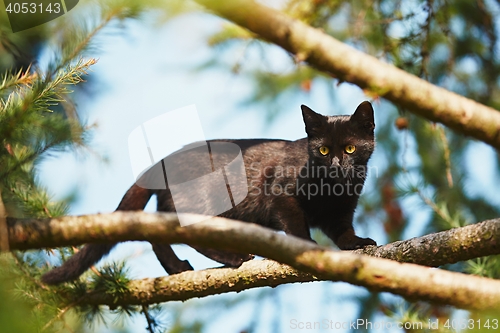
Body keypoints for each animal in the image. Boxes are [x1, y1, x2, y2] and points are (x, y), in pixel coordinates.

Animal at [42, 100, 376, 282]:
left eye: (349, 148)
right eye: (322, 150)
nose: (336, 164)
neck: (334, 188)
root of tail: (163, 160)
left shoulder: (342, 211)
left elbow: (343, 231)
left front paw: (357, 243)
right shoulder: (281, 194)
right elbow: (296, 228)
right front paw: (305, 249)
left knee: (159, 234)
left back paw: (177, 267)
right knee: (182, 231)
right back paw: (231, 258)